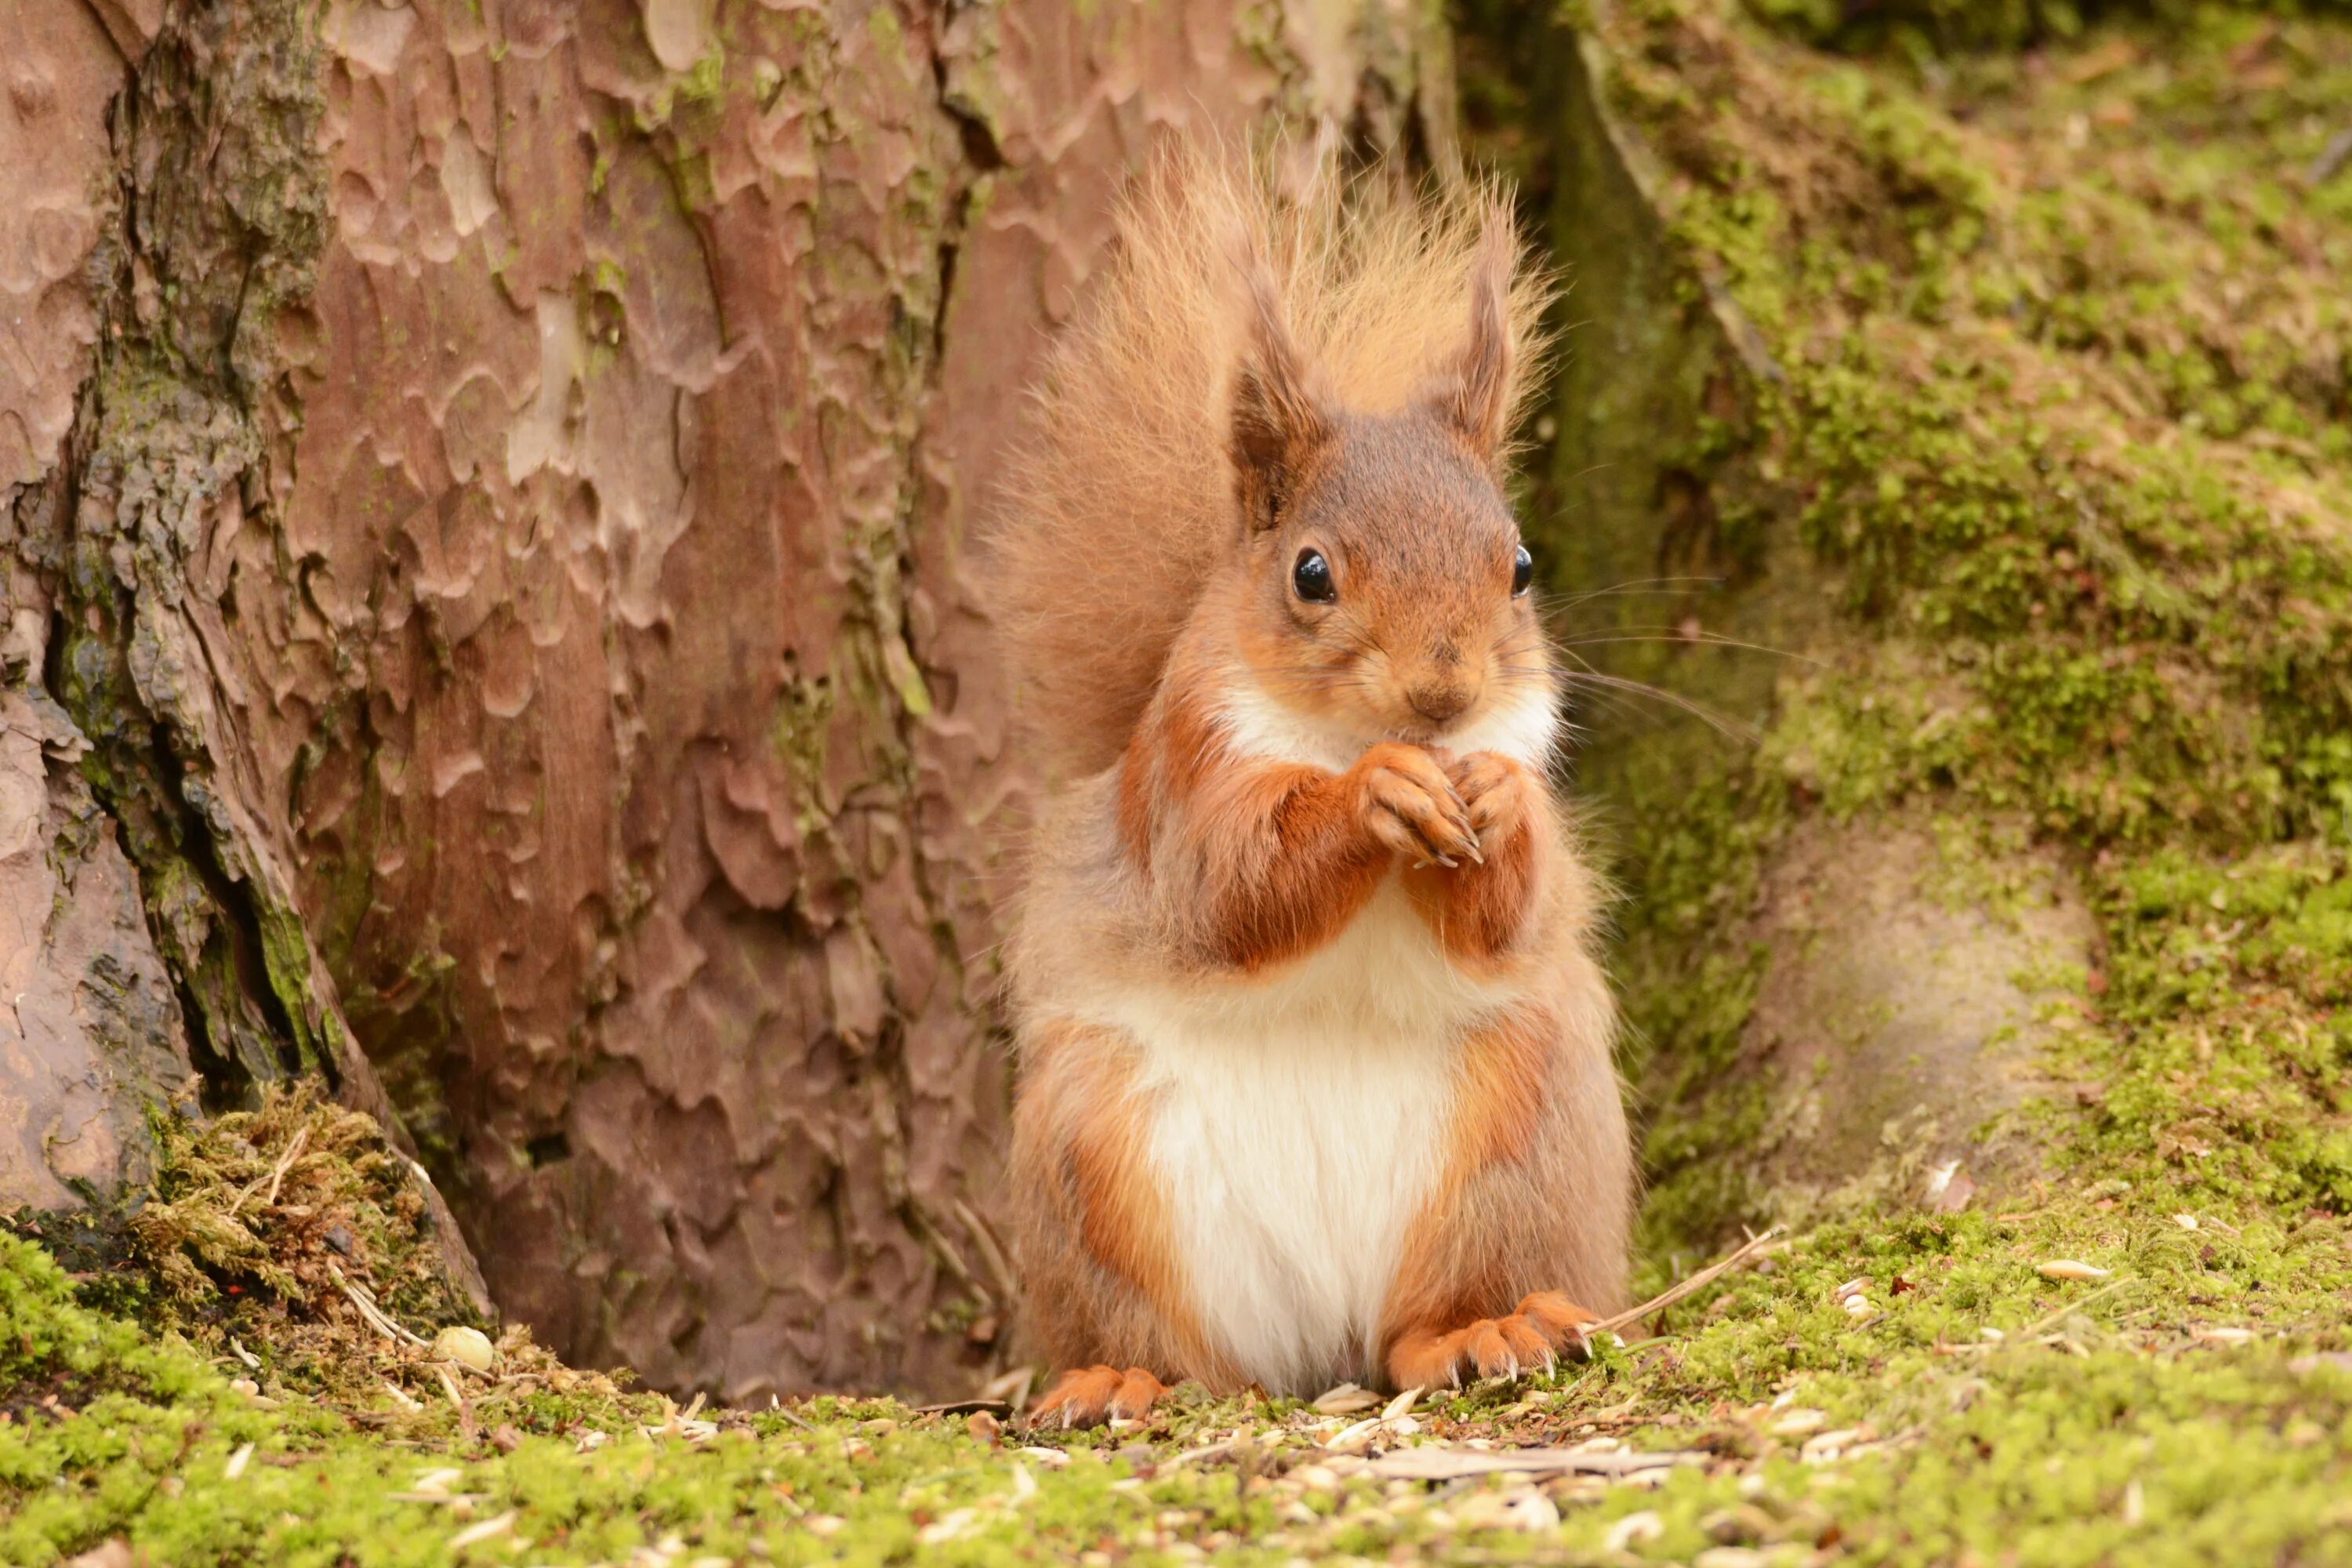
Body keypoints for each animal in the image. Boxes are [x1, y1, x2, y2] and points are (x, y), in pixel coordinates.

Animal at [993, 143, 1637, 1420]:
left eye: (1521, 564)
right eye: (1310, 574)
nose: (1442, 692)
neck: (1346, 732)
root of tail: (1319, 1336)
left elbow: (1512, 909)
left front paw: (1498, 805)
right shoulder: (1185, 775)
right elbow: (1231, 889)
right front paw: (1379, 794)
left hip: (1523, 1133)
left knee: (1425, 1324)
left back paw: (1485, 1329)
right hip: (1093, 1158)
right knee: (1173, 1345)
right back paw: (1119, 1376)